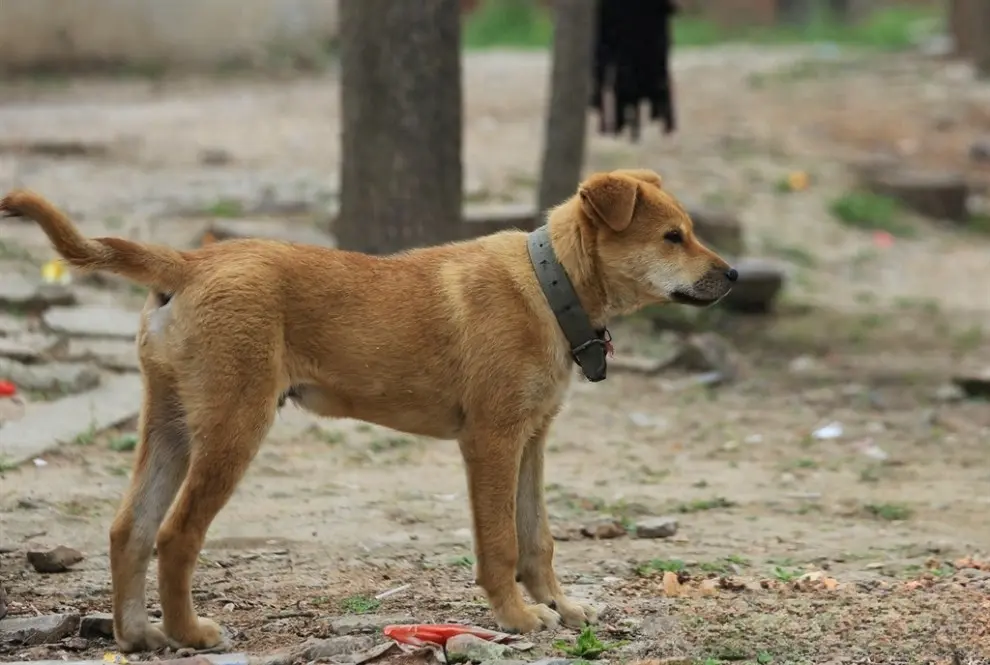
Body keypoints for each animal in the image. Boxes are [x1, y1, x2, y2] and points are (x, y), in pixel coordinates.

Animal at [0, 169, 740, 652]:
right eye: (673, 237)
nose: (733, 275)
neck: (549, 283)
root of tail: (189, 261)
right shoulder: (492, 440)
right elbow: (501, 541)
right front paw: (515, 616)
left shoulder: (532, 440)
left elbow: (539, 538)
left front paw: (560, 605)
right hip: (235, 425)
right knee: (177, 533)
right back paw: (190, 633)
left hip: (174, 423)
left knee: (130, 526)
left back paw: (138, 635)